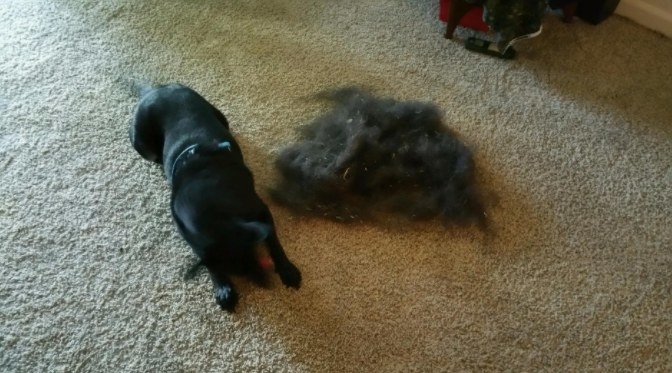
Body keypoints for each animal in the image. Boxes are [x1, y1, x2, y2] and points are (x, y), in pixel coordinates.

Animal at [129, 82, 302, 310]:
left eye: (254, 257)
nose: (265, 284)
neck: (214, 212)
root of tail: (154, 90)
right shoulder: (189, 233)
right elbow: (206, 258)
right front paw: (222, 287)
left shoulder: (262, 211)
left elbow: (274, 242)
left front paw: (287, 269)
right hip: (142, 144)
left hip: (219, 116)